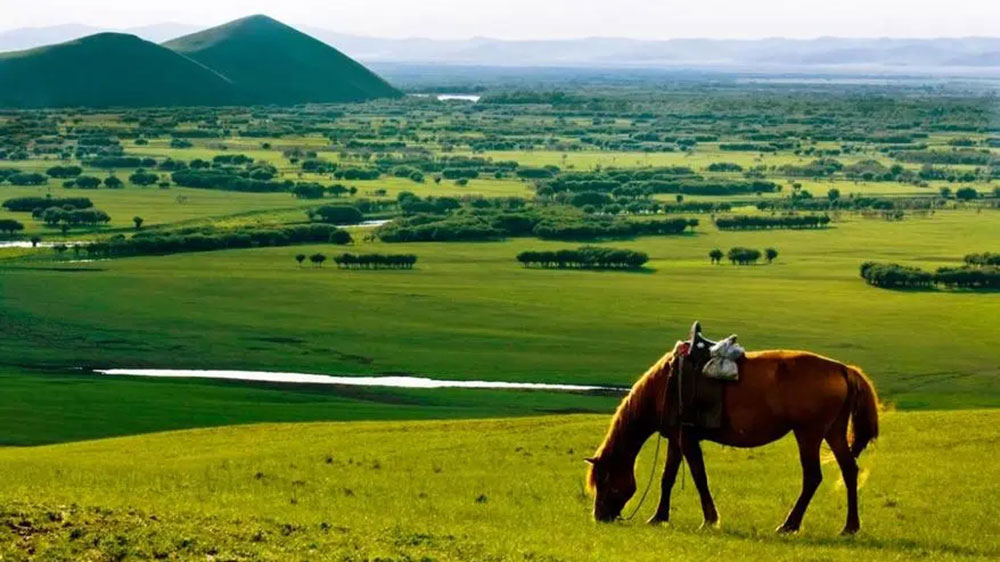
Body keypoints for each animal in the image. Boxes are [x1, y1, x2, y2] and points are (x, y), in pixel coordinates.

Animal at [584, 334, 876, 532]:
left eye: (605, 479)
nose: (600, 517)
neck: (665, 385)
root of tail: (842, 369)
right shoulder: (676, 439)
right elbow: (667, 478)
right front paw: (658, 517)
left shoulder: (687, 439)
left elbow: (699, 477)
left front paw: (710, 520)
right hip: (833, 432)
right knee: (849, 471)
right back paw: (850, 527)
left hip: (809, 434)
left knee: (813, 477)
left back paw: (789, 525)